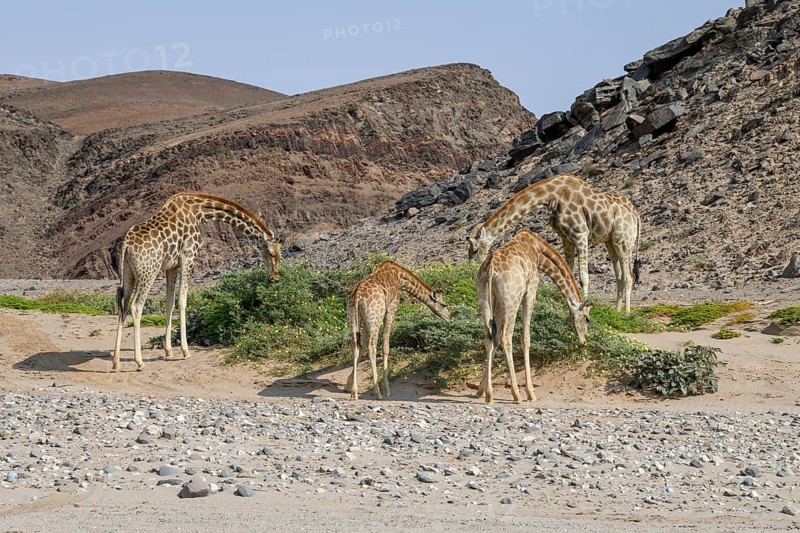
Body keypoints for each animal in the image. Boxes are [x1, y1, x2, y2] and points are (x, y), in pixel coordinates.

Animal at [112, 193, 281, 372]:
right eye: (271, 253)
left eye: (280, 254)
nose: (275, 277)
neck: (199, 212)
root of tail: (126, 245)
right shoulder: (187, 256)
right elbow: (183, 301)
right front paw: (185, 351)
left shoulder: (172, 266)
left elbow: (169, 303)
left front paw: (169, 351)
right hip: (148, 272)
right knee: (136, 306)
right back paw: (139, 362)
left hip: (128, 274)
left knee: (122, 306)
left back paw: (116, 362)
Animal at [345, 260, 451, 400]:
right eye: (443, 304)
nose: (450, 318)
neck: (400, 278)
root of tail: (358, 296)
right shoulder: (391, 308)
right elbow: (385, 347)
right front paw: (387, 389)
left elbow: (361, 347)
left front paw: (348, 385)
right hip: (375, 318)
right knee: (372, 347)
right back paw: (377, 392)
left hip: (353, 318)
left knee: (355, 347)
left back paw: (354, 393)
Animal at [466, 173, 641, 313]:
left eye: (474, 250)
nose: (471, 270)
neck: (552, 196)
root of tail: (636, 215)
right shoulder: (566, 238)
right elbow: (567, 271)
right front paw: (567, 304)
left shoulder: (581, 234)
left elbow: (583, 276)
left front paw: (584, 305)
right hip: (610, 242)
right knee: (619, 276)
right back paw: (617, 312)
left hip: (623, 240)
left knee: (629, 276)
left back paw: (627, 313)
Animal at [476, 228, 591, 404]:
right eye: (586, 319)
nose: (584, 341)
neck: (538, 251)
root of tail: (490, 269)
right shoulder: (531, 290)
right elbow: (526, 338)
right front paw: (530, 393)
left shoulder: (497, 304)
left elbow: (494, 342)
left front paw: (481, 390)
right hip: (511, 302)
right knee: (506, 337)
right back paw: (517, 394)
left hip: (486, 301)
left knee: (490, 338)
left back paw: (489, 395)